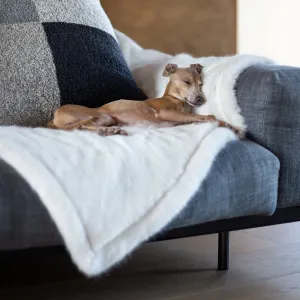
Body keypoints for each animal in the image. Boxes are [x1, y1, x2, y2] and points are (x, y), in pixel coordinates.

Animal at [48, 64, 239, 137]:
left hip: (105, 119)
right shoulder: (165, 113)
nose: (200, 99)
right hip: (101, 115)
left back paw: (109, 131)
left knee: (82, 128)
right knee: (80, 126)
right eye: (186, 81)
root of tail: (52, 119)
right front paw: (230, 126)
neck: (175, 99)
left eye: (201, 84)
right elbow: (209, 116)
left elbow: (202, 118)